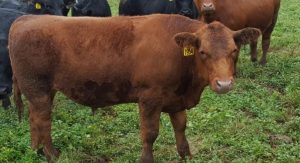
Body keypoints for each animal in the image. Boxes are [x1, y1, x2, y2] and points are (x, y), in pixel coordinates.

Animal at [8, 14, 258, 162]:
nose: (224, 84)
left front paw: (185, 155)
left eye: (234, 50)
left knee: (34, 119)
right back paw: (52, 154)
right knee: (43, 121)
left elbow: (180, 127)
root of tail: (26, 18)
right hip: (37, 88)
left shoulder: (176, 99)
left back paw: (35, 150)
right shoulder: (149, 97)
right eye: (203, 52)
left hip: (42, 92)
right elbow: (150, 133)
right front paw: (146, 159)